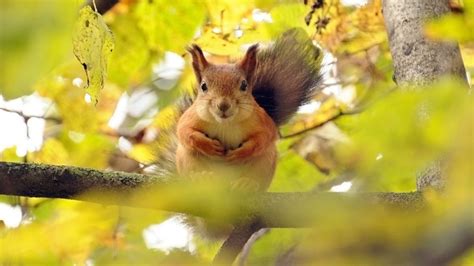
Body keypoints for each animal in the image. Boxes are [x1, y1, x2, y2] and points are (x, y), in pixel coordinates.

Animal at [175, 28, 326, 191]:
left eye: (244, 85)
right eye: (203, 86)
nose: (223, 105)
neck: (226, 123)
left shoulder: (262, 120)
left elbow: (266, 136)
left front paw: (242, 152)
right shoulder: (191, 116)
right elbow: (184, 131)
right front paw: (206, 145)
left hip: (265, 161)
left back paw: (247, 183)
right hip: (186, 158)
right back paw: (202, 177)